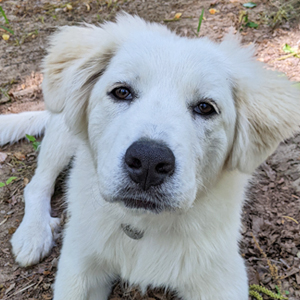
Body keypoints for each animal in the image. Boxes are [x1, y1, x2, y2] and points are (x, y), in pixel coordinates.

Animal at [0, 14, 300, 300]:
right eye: (121, 91)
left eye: (205, 107)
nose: (148, 162)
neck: (143, 227)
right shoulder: (78, 264)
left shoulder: (222, 277)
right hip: (62, 132)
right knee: (37, 184)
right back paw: (33, 234)